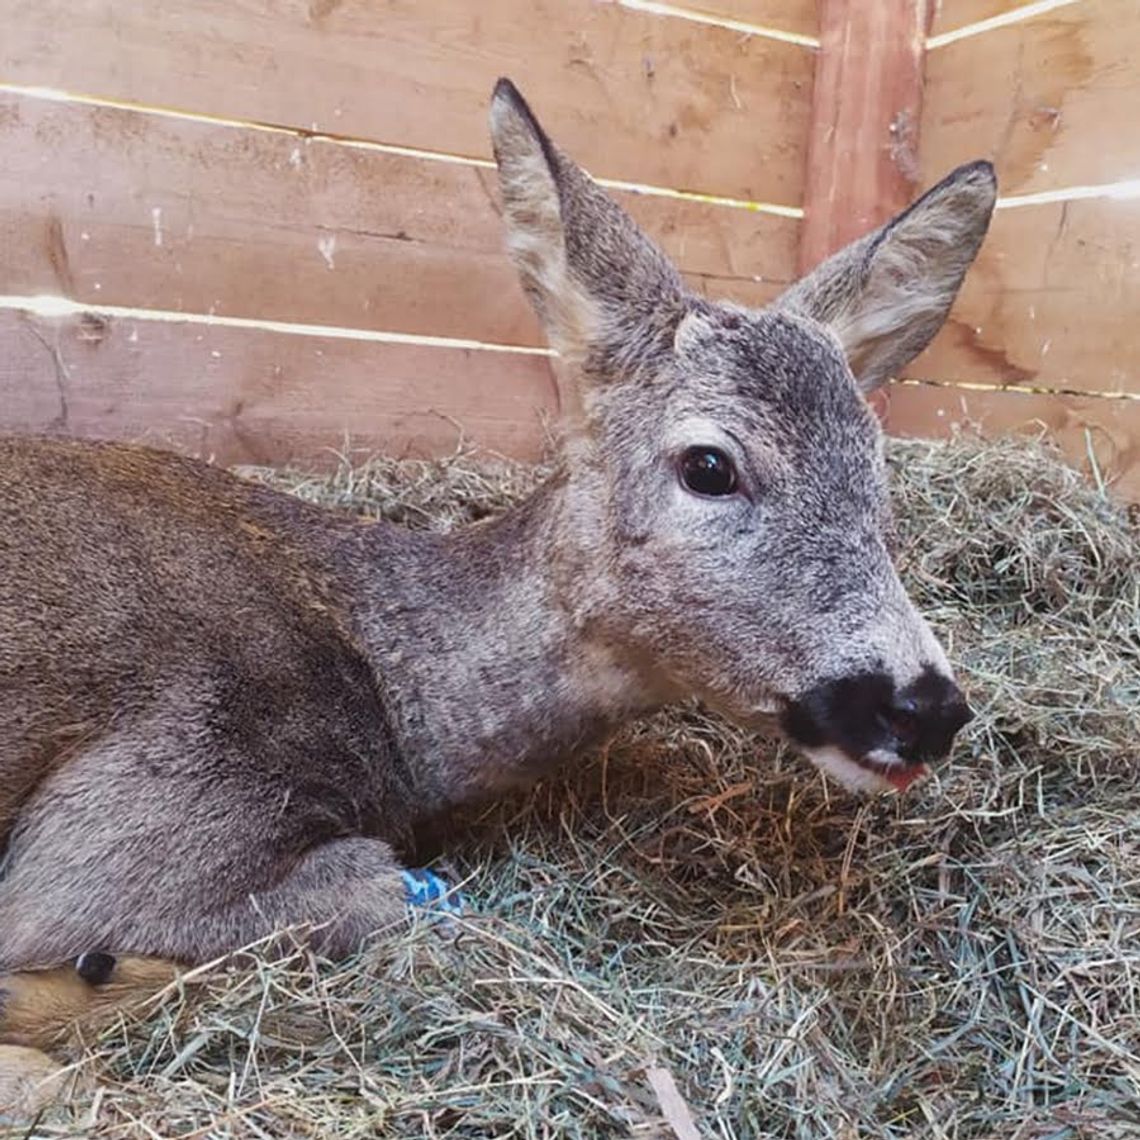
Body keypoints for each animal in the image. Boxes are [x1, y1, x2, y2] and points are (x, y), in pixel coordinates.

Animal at [0, 78, 994, 1094]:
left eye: (879, 472)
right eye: (710, 466)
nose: (928, 706)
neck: (388, 680)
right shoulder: (126, 832)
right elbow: (369, 887)